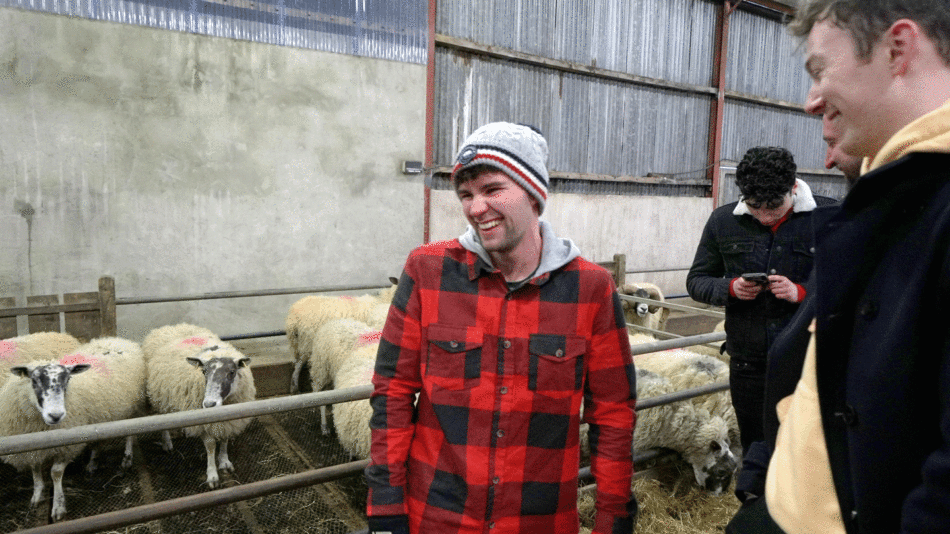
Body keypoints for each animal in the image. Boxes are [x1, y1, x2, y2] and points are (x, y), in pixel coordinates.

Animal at [142, 324, 256, 492]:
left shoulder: (230, 421)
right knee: (161, 418)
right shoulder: (203, 423)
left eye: (232, 372)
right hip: (157, 394)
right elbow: (210, 446)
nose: (209, 404)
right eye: (204, 371)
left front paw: (224, 461)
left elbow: (225, 439)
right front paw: (212, 475)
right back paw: (167, 443)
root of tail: (172, 326)